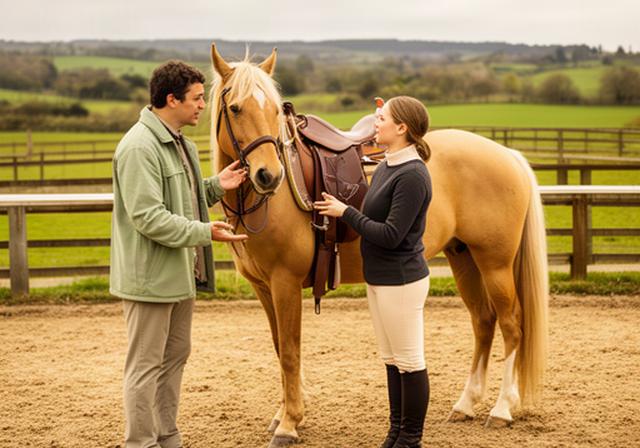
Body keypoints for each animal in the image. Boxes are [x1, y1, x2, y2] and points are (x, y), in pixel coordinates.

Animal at [208, 44, 549, 447]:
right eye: (235, 108)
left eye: (275, 110)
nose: (269, 175)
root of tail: (507, 155)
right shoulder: (264, 288)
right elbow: (279, 348)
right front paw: (283, 415)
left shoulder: (285, 283)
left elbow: (290, 352)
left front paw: (290, 423)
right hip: (464, 259)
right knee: (483, 321)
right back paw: (466, 404)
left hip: (494, 263)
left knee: (512, 326)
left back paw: (501, 409)